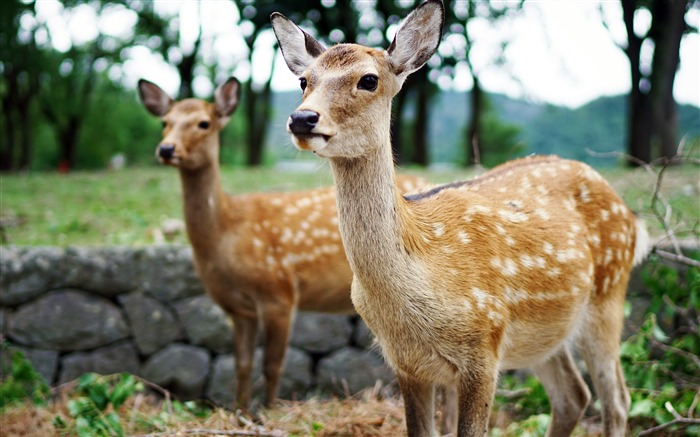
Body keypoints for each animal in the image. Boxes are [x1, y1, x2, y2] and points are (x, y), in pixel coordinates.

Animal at [135, 76, 426, 408]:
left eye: (203, 123)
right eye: (165, 122)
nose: (166, 149)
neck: (226, 233)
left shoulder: (279, 291)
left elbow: (273, 365)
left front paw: (268, 411)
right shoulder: (238, 309)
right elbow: (242, 364)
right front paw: (240, 412)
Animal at [272, 1, 652, 434]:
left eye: (368, 79)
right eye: (304, 79)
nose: (303, 118)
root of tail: (632, 218)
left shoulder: (484, 346)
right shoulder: (405, 363)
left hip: (608, 297)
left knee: (617, 399)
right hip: (544, 334)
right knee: (573, 395)